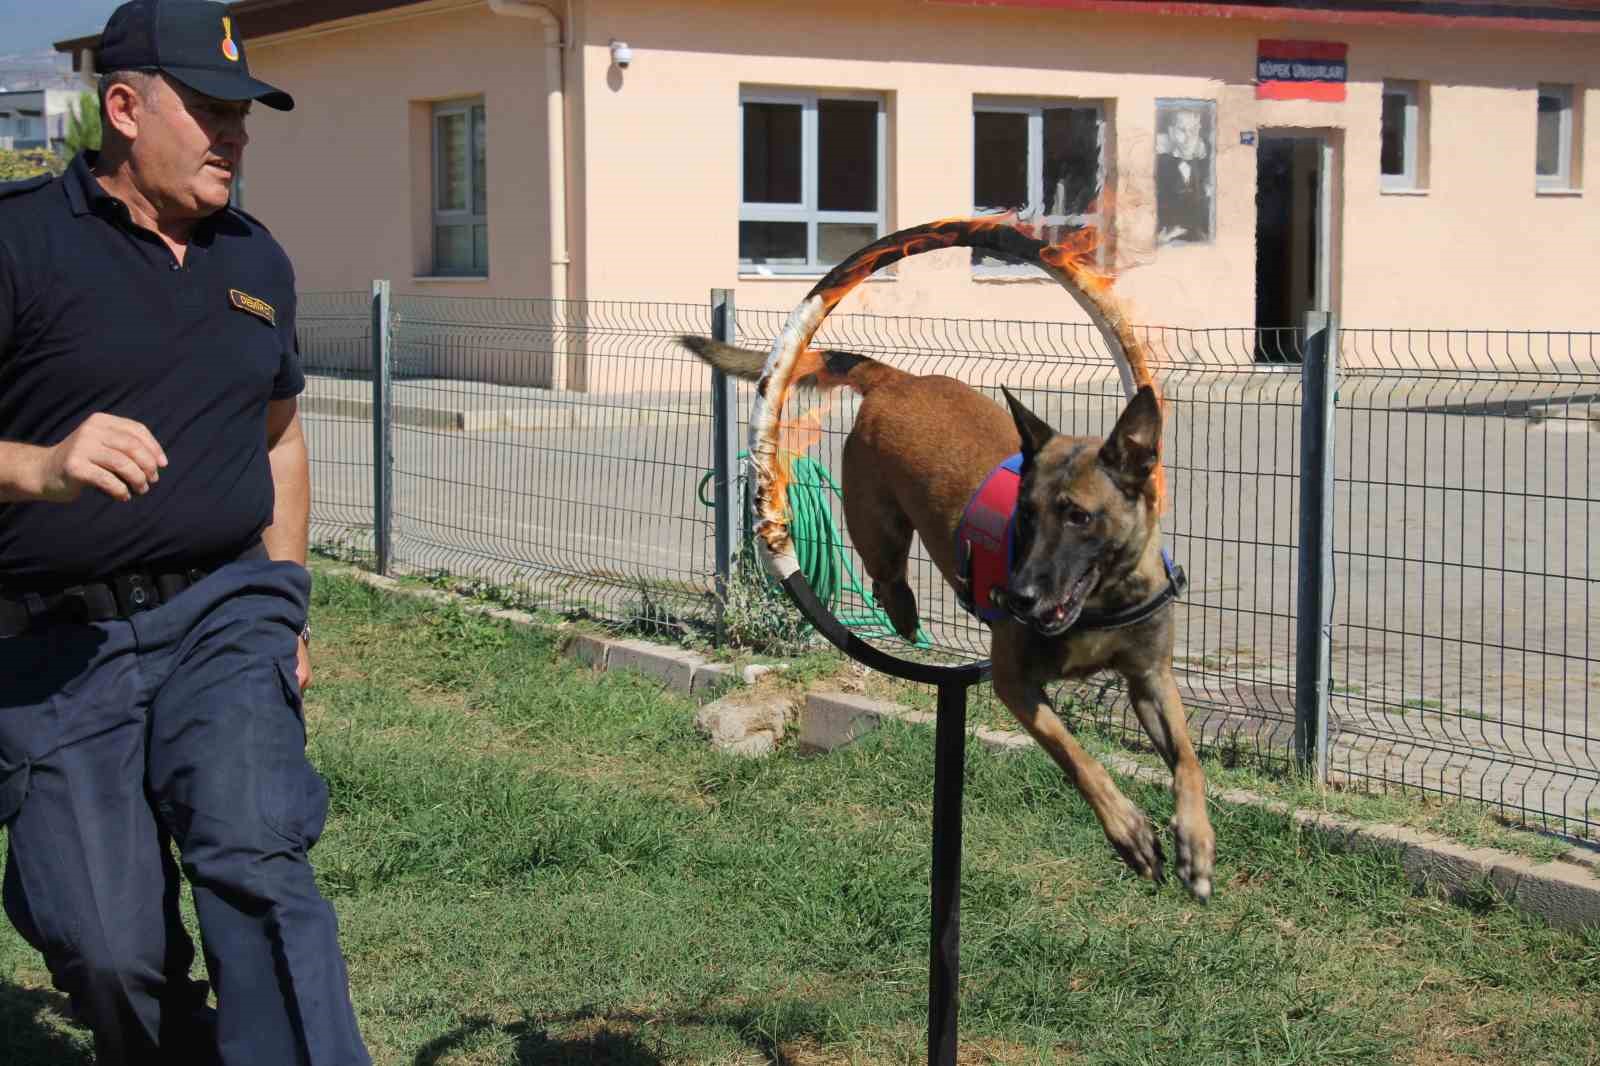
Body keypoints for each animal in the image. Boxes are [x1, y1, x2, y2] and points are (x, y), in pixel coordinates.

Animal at [675, 337, 1209, 896]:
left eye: (1078, 516)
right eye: (1025, 515)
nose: (1016, 598)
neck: (1102, 601)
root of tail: (898, 380)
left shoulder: (1151, 680)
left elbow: (1189, 762)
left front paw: (1196, 844)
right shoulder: (1015, 685)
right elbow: (1076, 756)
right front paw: (1129, 831)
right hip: (879, 527)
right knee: (884, 577)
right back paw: (905, 613)